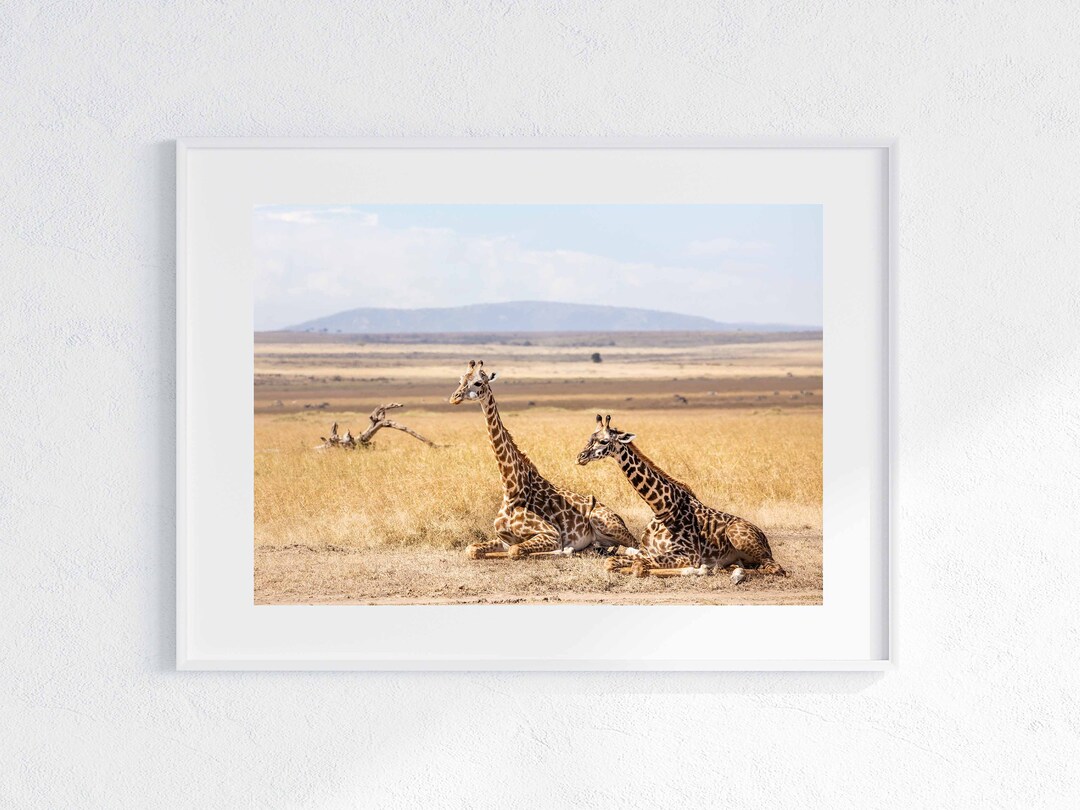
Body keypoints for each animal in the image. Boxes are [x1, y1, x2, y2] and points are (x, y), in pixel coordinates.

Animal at [448, 361, 638, 560]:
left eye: (478, 382)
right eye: (461, 380)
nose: (454, 398)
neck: (511, 489)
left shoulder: (551, 534)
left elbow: (516, 550)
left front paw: (561, 550)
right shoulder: (504, 539)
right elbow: (471, 549)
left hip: (604, 522)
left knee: (634, 545)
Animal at [576, 414, 786, 581]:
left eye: (604, 441)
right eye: (590, 437)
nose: (580, 457)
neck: (662, 508)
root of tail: (764, 539)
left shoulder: (689, 555)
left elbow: (639, 568)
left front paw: (693, 571)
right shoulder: (645, 551)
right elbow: (611, 562)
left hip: (739, 536)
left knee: (776, 568)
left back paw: (734, 573)